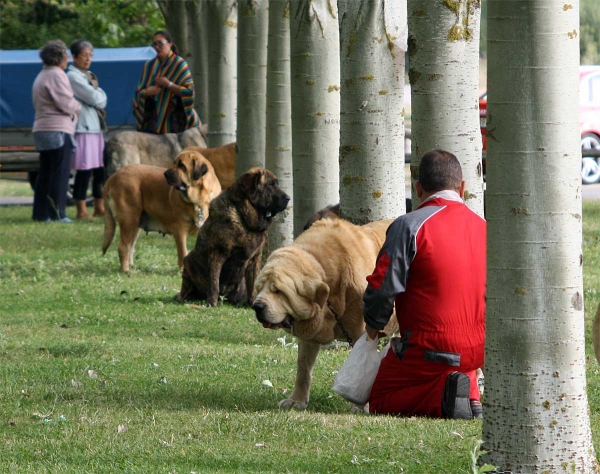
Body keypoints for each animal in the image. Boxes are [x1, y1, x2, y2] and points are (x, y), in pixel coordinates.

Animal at [176, 167, 290, 308]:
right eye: (270, 184)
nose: (288, 198)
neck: (244, 218)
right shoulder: (217, 253)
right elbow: (214, 283)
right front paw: (211, 303)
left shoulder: (255, 258)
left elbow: (253, 285)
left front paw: (253, 303)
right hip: (188, 261)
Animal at [252, 218, 398, 412]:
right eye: (259, 288)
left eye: (278, 291)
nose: (257, 306)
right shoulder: (308, 338)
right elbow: (303, 370)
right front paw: (296, 400)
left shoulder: (363, 333)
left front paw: (361, 406)